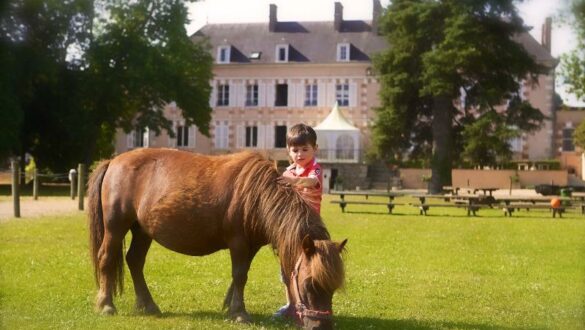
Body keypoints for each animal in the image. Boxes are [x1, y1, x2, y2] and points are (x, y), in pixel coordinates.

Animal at [84, 148, 344, 328]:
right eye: (310, 284)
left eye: (334, 287)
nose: (321, 326)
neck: (257, 195)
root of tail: (112, 162)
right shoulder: (238, 242)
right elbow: (239, 275)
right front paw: (239, 312)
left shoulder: (251, 246)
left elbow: (240, 276)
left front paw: (230, 306)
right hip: (116, 227)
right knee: (107, 258)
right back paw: (106, 305)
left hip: (142, 230)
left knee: (135, 261)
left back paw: (148, 305)